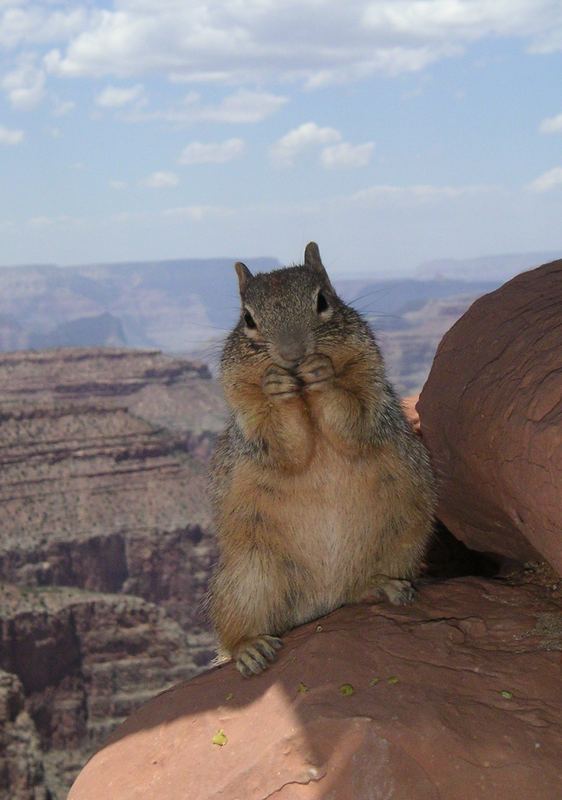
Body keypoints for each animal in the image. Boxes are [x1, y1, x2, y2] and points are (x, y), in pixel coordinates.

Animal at [208, 242, 436, 676]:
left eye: (323, 301)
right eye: (248, 319)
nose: (293, 354)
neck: (305, 399)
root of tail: (321, 605)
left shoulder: (370, 387)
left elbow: (353, 421)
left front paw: (321, 372)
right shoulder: (251, 416)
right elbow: (287, 446)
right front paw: (275, 384)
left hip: (404, 539)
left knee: (357, 588)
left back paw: (381, 587)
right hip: (248, 578)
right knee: (236, 624)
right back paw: (250, 649)